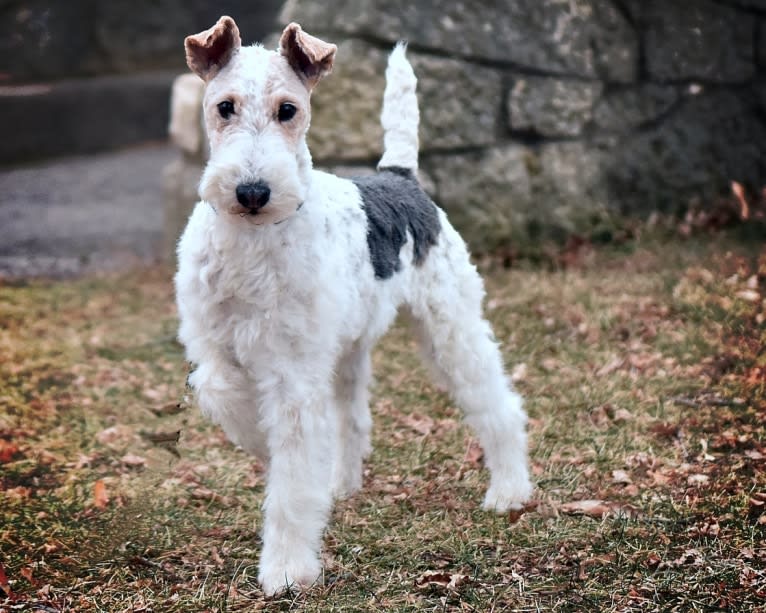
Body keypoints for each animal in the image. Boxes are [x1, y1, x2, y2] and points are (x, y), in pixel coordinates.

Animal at [176, 16, 536, 596]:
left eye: (288, 110)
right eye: (224, 106)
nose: (252, 192)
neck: (253, 241)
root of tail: (399, 176)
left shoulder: (293, 375)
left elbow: (291, 481)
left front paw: (286, 570)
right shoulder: (212, 347)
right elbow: (223, 393)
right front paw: (260, 441)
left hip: (450, 328)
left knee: (498, 405)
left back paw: (508, 491)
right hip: (346, 348)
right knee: (353, 420)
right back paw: (340, 481)